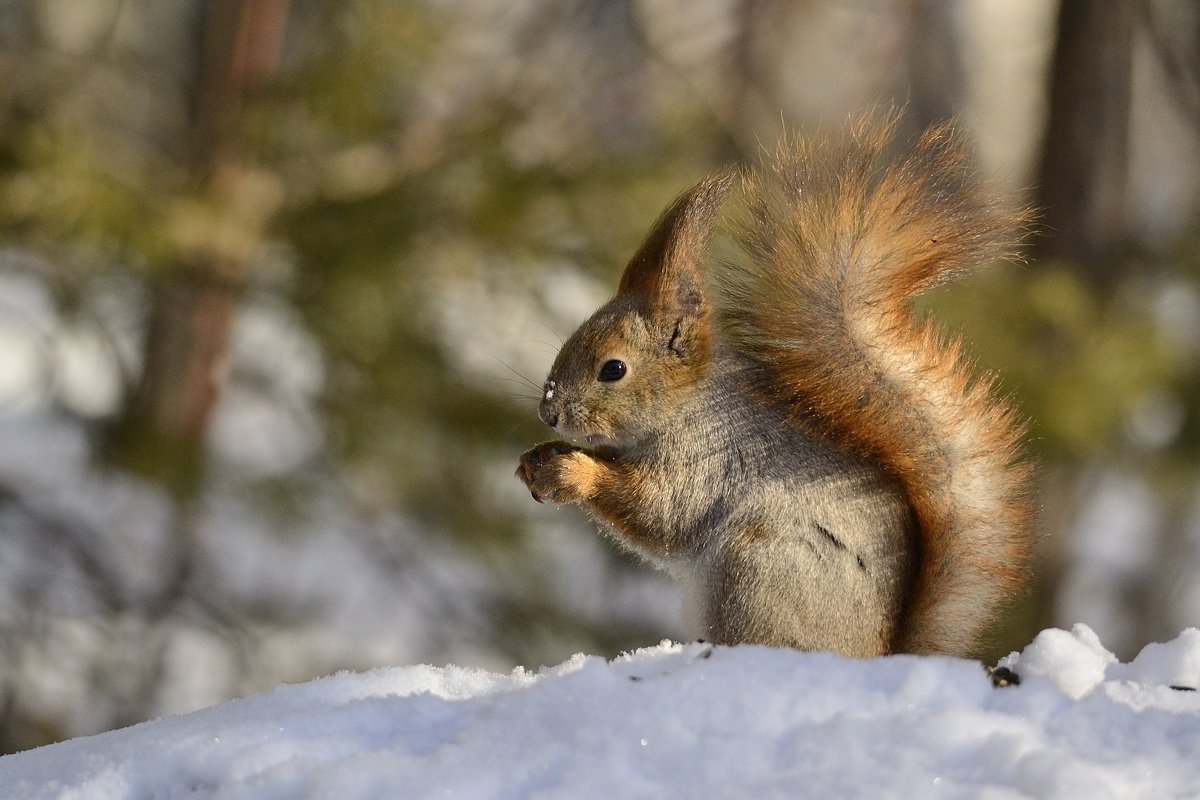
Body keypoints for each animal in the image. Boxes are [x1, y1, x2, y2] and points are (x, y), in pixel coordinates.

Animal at [513, 115, 1032, 662]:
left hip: (758, 570)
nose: (550, 413)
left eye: (613, 369)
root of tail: (876, 653)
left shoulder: (706, 463)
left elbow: (658, 512)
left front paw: (573, 472)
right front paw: (536, 459)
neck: (685, 405)